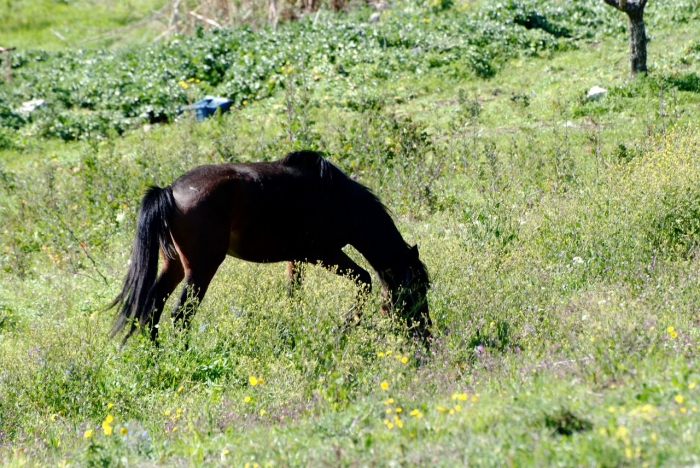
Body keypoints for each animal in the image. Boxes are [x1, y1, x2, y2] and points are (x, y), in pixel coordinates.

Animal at [108, 150, 432, 348]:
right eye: (418, 289)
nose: (426, 333)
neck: (337, 198)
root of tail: (169, 192)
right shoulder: (323, 254)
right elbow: (363, 279)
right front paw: (346, 326)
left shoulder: (296, 259)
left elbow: (293, 294)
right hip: (201, 269)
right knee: (180, 315)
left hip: (173, 265)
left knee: (153, 306)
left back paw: (157, 355)